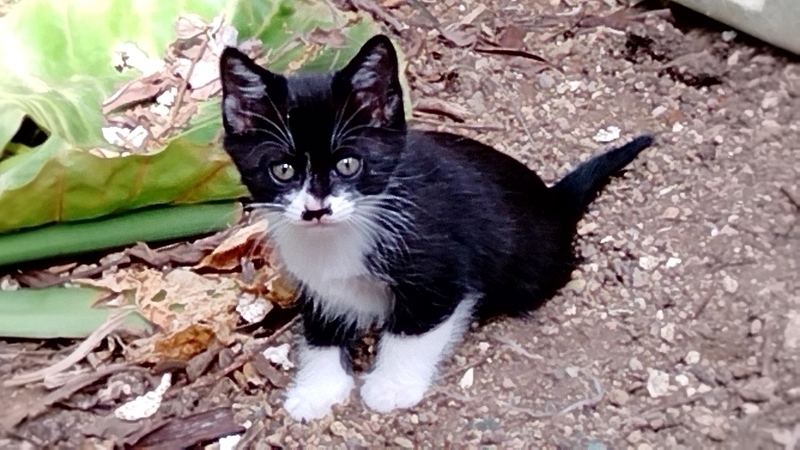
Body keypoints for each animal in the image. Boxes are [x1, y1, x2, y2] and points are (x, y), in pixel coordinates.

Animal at [219, 34, 654, 421]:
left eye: (348, 164)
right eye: (283, 170)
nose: (316, 209)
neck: (341, 234)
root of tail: (554, 200)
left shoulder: (442, 269)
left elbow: (414, 329)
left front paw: (390, 386)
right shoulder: (318, 282)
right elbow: (320, 330)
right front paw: (318, 390)